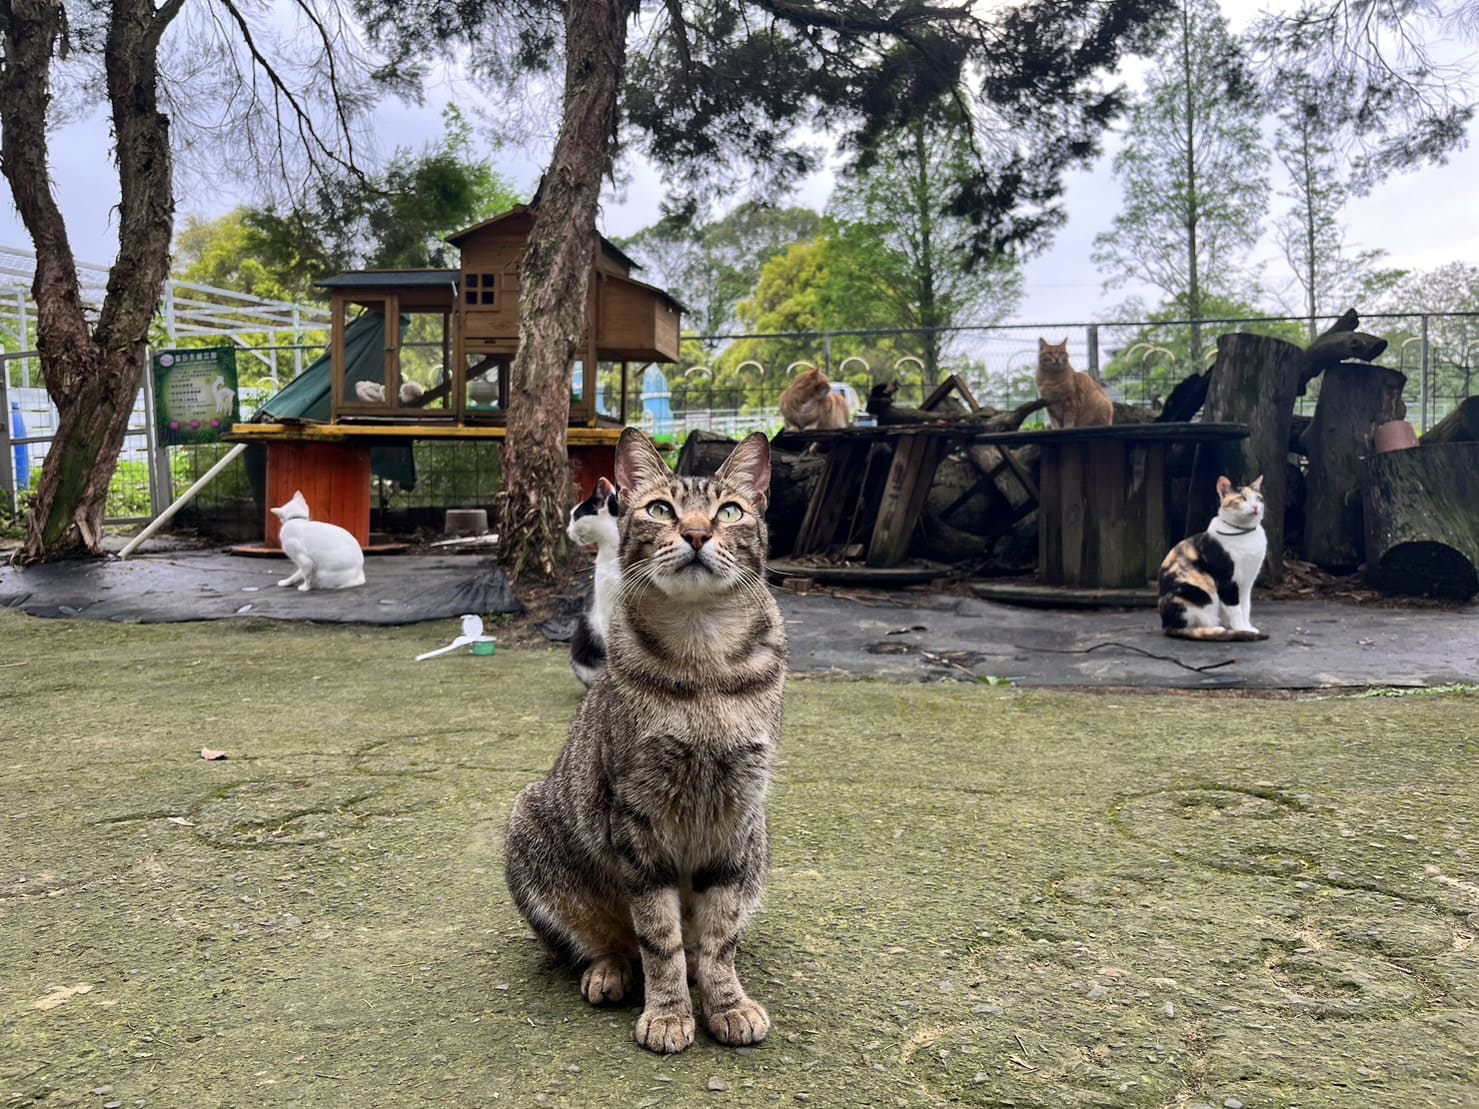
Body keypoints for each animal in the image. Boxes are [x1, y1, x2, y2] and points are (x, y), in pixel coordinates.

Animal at [1153, 476, 1271, 641]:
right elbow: (1235, 610)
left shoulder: (1247, 583)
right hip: (1195, 593)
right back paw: (1218, 630)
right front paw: (1241, 628)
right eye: (1242, 498)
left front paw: (1247, 627)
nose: (1256, 506)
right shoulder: (1227, 581)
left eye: (1259, 498)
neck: (1244, 533)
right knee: (1191, 628)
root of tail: (1166, 624)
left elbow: (1245, 607)